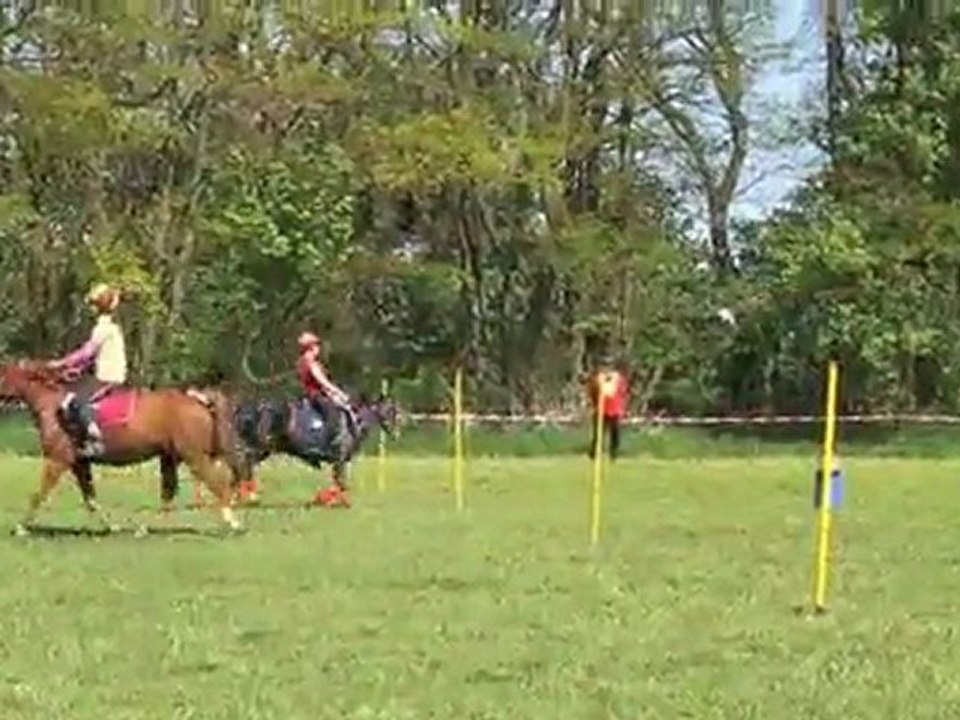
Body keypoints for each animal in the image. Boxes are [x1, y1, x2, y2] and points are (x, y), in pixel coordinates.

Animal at [0, 359, 247, 535]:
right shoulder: (79, 463)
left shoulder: (57, 460)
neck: (54, 406)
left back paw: (233, 523)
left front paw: (21, 527)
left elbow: (39, 494)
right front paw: (111, 527)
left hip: (195, 457)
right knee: (169, 495)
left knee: (218, 484)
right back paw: (143, 530)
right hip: (171, 458)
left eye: (2, 374)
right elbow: (91, 498)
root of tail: (197, 400)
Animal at [230, 394, 398, 506]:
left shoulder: (340, 461)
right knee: (244, 466)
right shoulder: (340, 459)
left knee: (244, 467)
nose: (396, 434)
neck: (354, 422)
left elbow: (338, 482)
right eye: (391, 410)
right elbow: (341, 482)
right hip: (259, 448)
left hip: (264, 449)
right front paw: (339, 502)